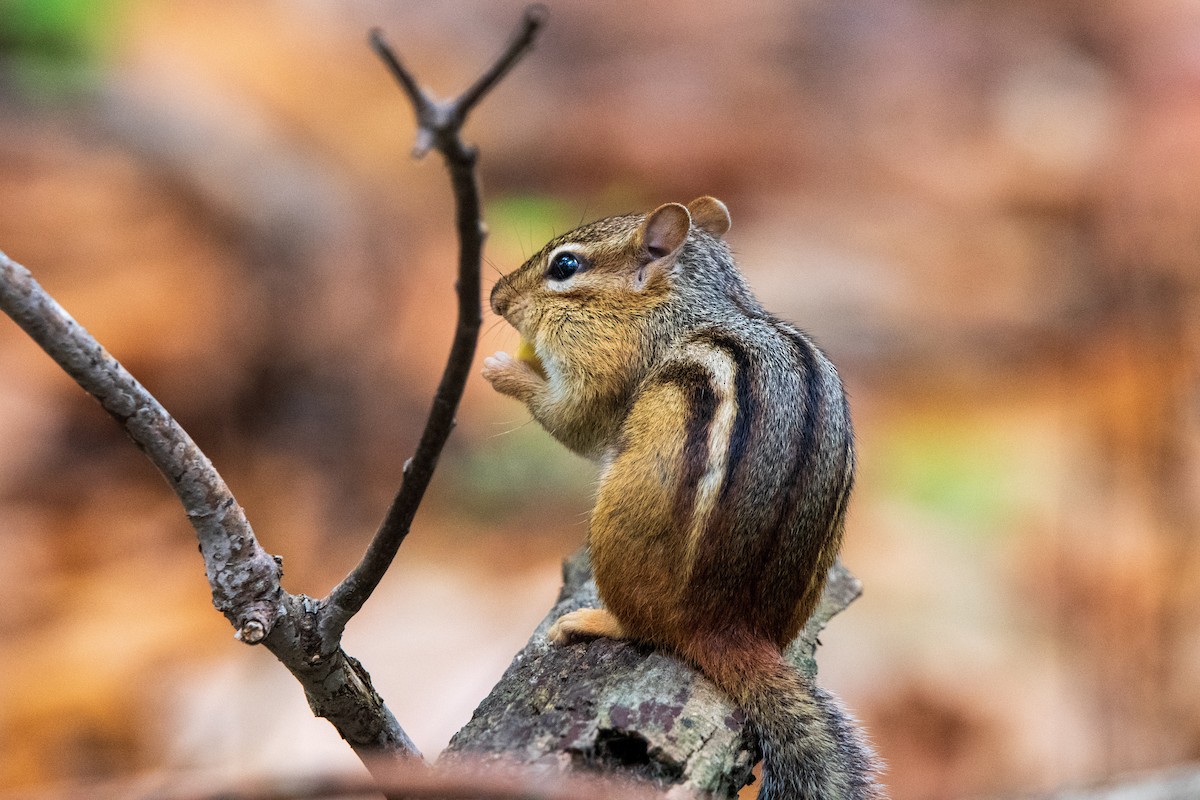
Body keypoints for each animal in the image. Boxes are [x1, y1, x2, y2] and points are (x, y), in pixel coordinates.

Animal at [482, 197, 881, 799]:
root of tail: (722, 627)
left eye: (565, 266)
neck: (685, 303)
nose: (495, 297)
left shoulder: (607, 365)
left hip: (617, 522)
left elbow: (573, 420)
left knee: (645, 630)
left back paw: (595, 621)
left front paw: (503, 370)